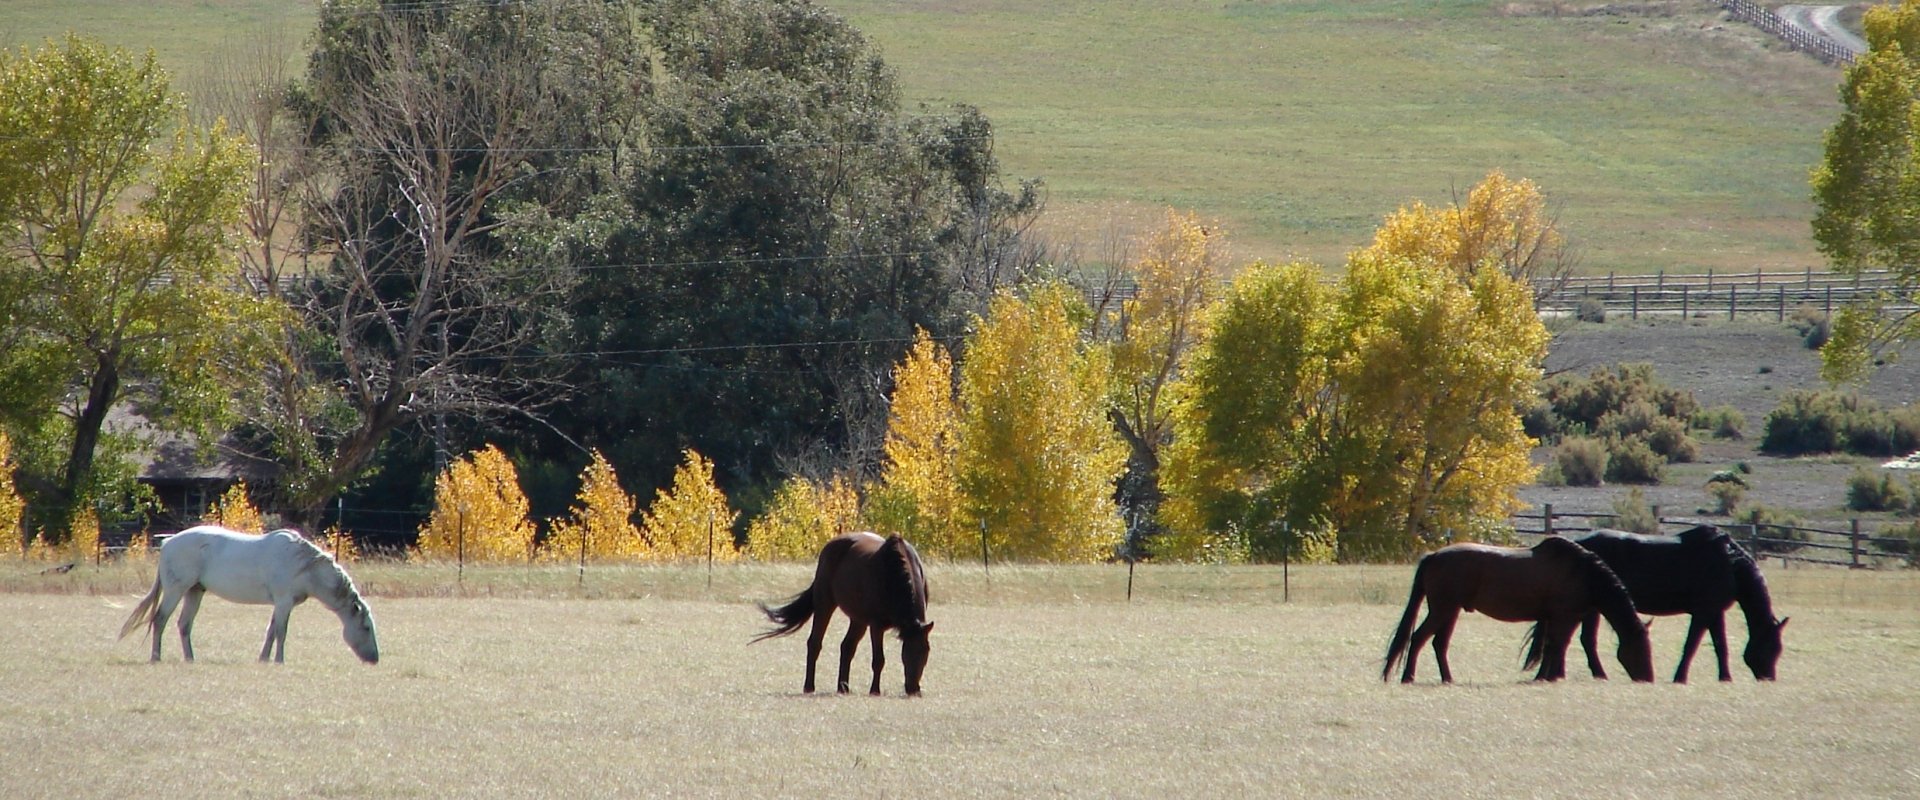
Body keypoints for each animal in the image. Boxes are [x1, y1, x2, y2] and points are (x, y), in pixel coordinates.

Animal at [119, 521, 378, 659]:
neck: (303, 566)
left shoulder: (281, 605)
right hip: (176, 590)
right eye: (366, 627)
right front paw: (279, 661)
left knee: (183, 625)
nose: (374, 659)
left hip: (195, 591)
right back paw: (156, 658)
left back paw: (190, 659)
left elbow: (271, 631)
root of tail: (166, 543)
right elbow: (281, 632)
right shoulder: (284, 602)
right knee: (160, 619)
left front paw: (264, 659)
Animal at [748, 533, 929, 694]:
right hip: (825, 605)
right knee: (814, 643)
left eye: (926, 652)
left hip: (858, 619)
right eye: (907, 653)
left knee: (847, 647)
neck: (893, 573)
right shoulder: (876, 626)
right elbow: (879, 660)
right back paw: (809, 686)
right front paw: (874, 691)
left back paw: (843, 687)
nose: (914, 689)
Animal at [1382, 533, 1651, 682]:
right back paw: (1408, 677)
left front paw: (1546, 675)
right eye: (1641, 648)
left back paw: (1447, 678)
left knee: (1439, 644)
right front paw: (1551, 675)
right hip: (1442, 609)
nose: (1648, 678)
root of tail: (1433, 555)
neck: (1583, 573)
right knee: (1418, 638)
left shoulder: (1560, 617)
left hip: (1450, 611)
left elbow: (1552, 646)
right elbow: (1557, 645)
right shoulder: (1565, 616)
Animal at [1528, 521, 1781, 679]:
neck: (1729, 562)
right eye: (1773, 647)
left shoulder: (1715, 613)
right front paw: (1680, 677)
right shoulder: (1703, 613)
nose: (1768, 677)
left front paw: (1725, 677)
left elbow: (1721, 646)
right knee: (1585, 640)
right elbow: (1691, 646)